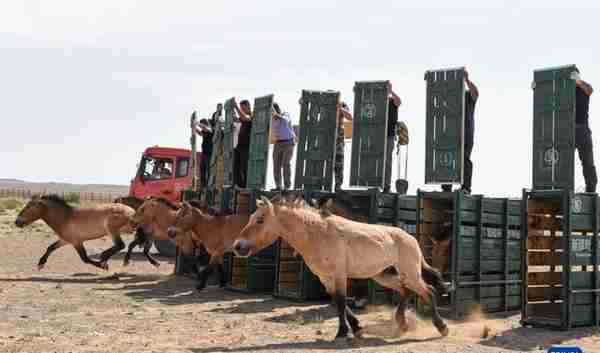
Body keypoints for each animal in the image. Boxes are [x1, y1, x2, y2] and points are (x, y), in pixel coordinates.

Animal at [232, 197, 448, 340]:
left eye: (260, 220)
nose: (238, 246)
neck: (318, 233)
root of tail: (411, 238)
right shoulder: (326, 278)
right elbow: (338, 301)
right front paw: (356, 328)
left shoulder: (339, 275)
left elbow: (342, 302)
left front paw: (342, 332)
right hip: (383, 275)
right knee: (406, 291)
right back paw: (402, 324)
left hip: (410, 273)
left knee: (429, 291)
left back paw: (441, 327)